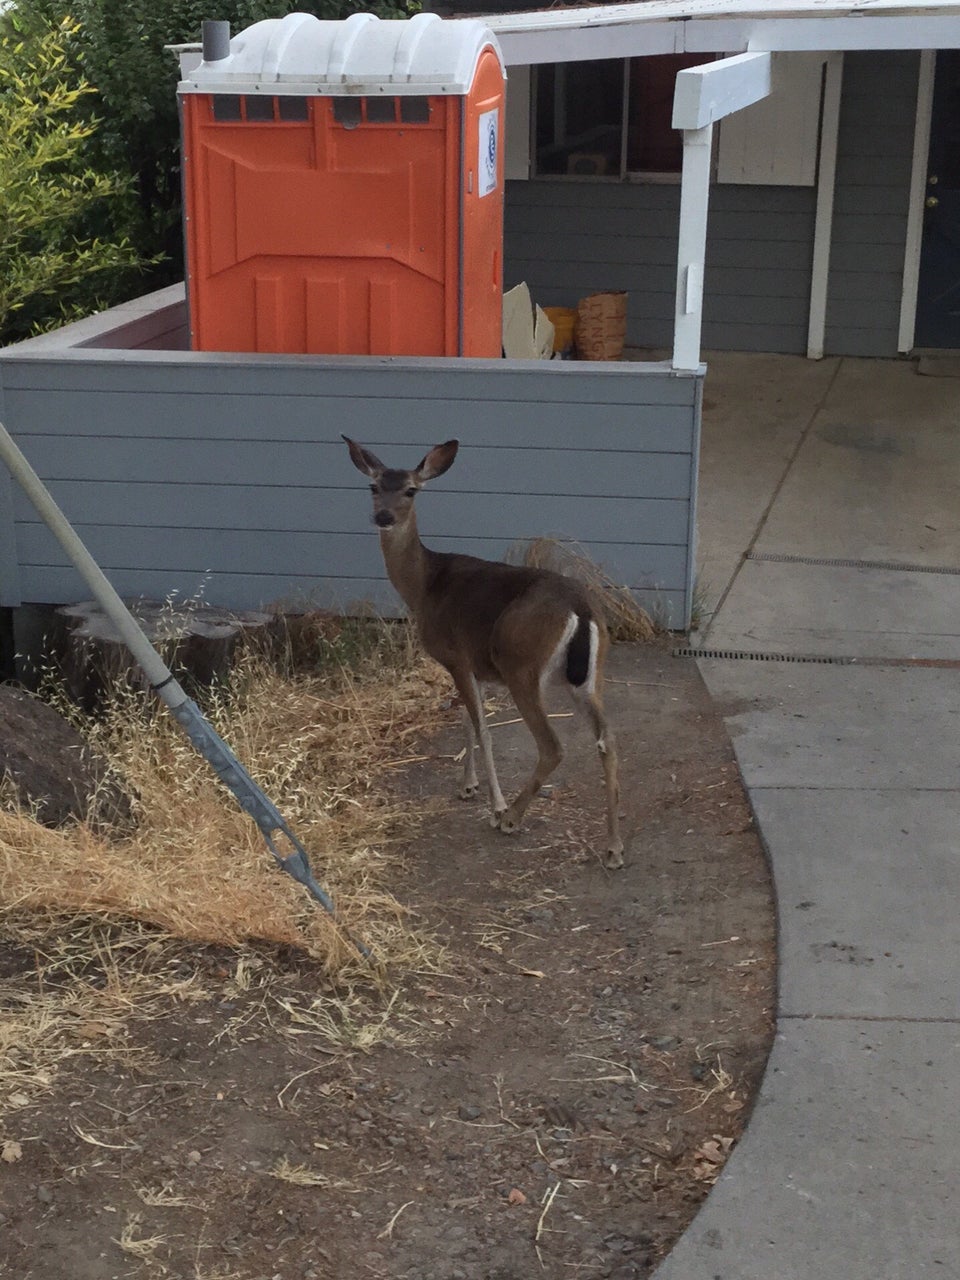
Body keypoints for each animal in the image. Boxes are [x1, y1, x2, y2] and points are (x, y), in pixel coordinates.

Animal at [345, 437, 632, 870]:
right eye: (374, 486)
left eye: (411, 490)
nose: (383, 516)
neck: (424, 585)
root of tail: (581, 609)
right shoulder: (475, 665)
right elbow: (468, 719)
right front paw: (468, 786)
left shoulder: (456, 655)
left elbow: (481, 728)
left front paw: (494, 805)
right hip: (588, 674)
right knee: (607, 738)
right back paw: (614, 848)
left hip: (522, 665)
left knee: (552, 745)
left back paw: (512, 817)